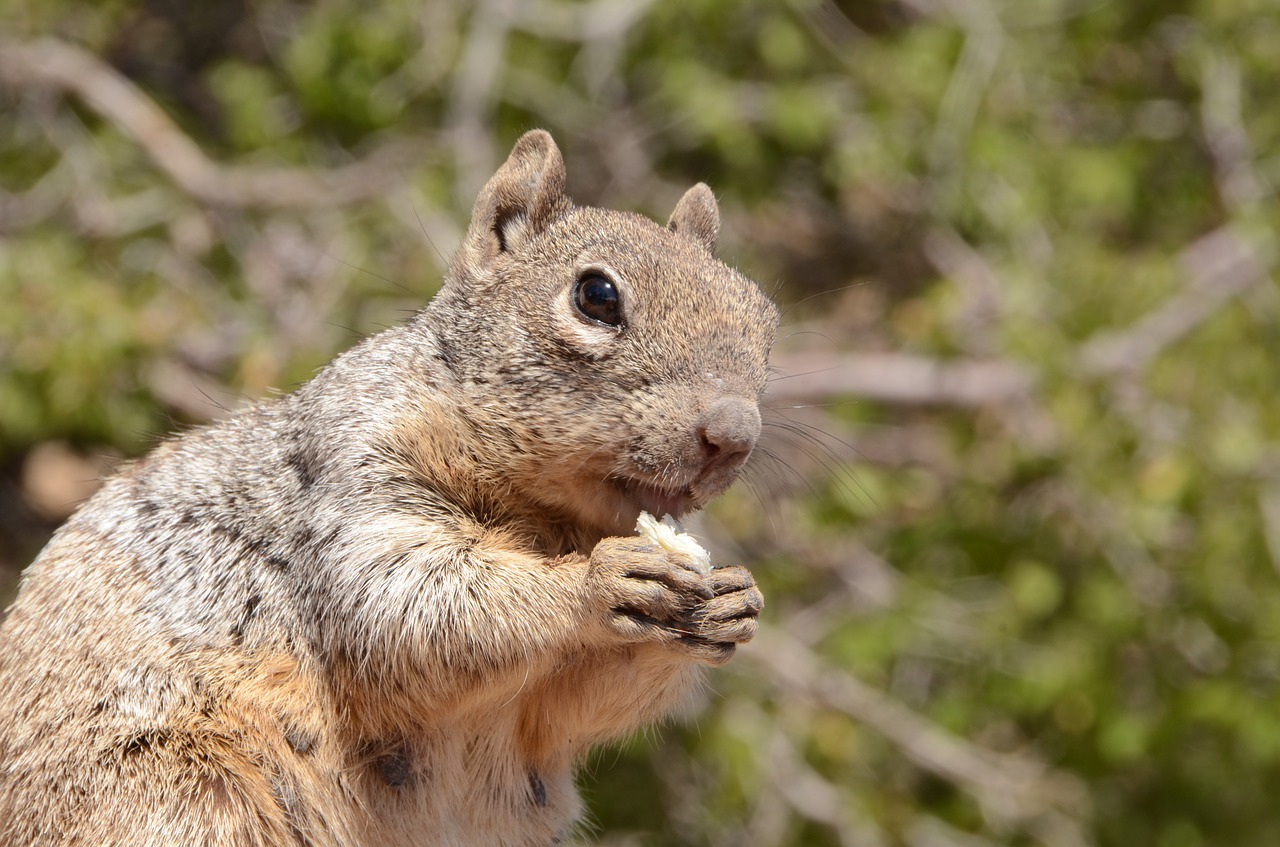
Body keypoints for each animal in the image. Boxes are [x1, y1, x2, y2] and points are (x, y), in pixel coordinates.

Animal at [0, 129, 778, 844]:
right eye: (596, 295)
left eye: (764, 316)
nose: (734, 434)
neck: (552, 515)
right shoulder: (356, 469)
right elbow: (401, 597)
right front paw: (596, 581)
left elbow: (579, 703)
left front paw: (733, 602)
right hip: (175, 794)